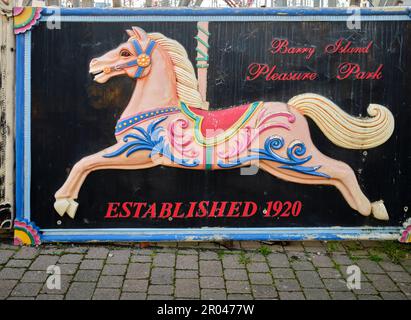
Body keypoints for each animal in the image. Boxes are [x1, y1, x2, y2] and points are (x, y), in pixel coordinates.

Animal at [53, 26, 394, 220]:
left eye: (125, 52)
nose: (94, 63)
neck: (158, 107)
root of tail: (293, 108)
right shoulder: (135, 154)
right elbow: (87, 163)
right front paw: (66, 201)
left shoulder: (135, 151)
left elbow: (86, 162)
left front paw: (62, 201)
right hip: (282, 166)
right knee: (336, 175)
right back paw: (366, 207)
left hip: (294, 155)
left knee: (342, 169)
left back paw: (372, 209)